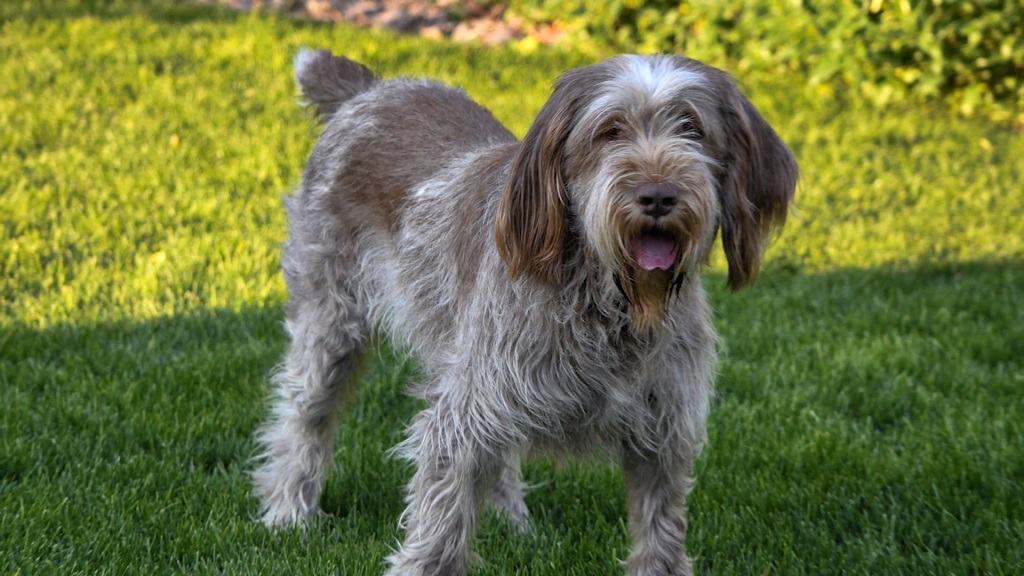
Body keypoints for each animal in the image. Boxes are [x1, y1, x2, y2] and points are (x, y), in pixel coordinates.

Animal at [253, 50, 798, 573]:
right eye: (610, 131)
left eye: (691, 128)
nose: (658, 196)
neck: (606, 305)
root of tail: (370, 91)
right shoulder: (462, 416)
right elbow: (439, 532)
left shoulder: (664, 437)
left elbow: (660, 541)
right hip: (332, 325)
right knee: (303, 419)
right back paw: (288, 513)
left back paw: (508, 522)